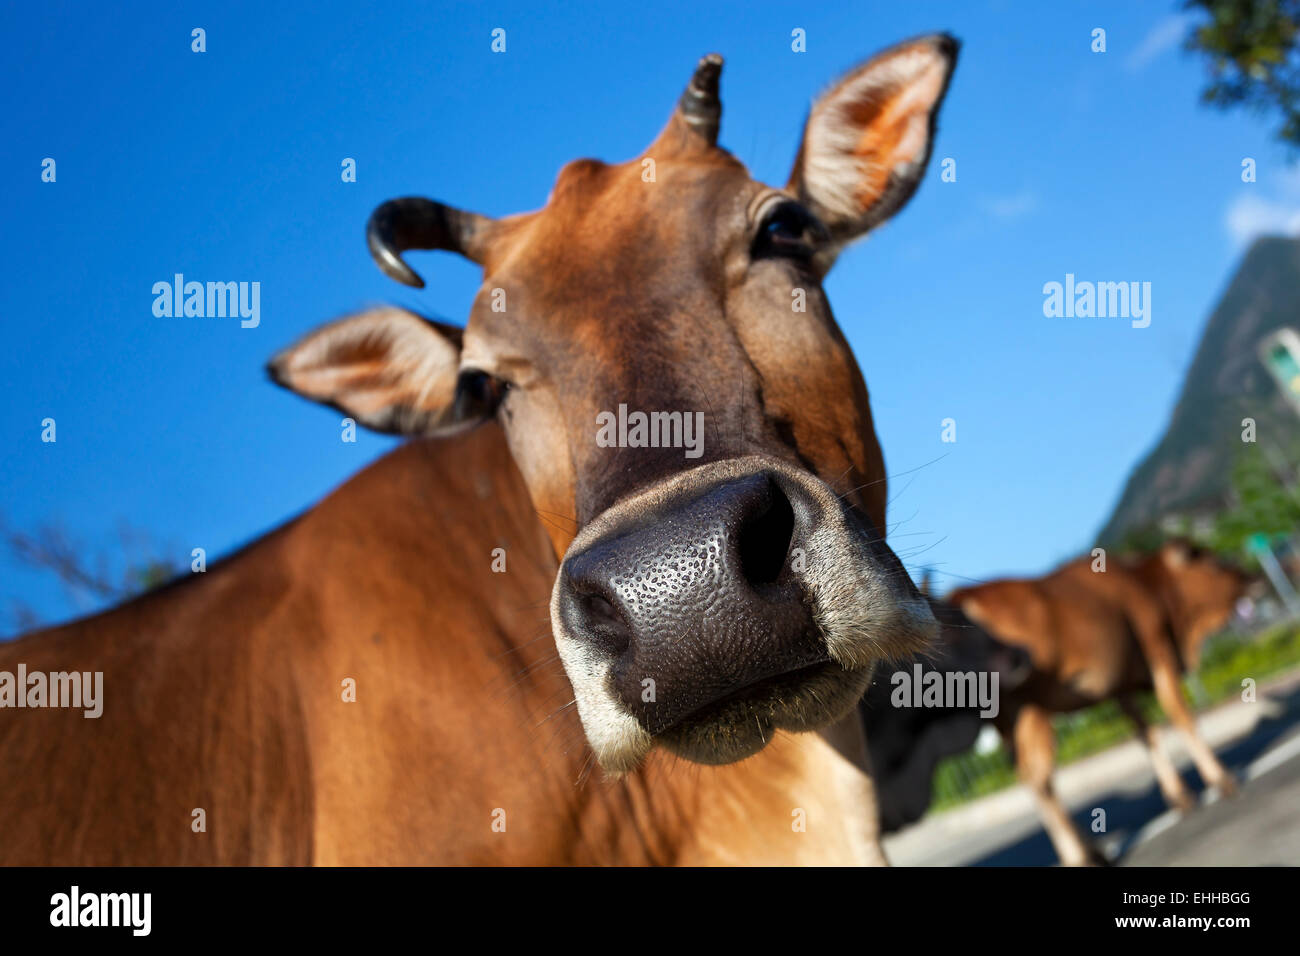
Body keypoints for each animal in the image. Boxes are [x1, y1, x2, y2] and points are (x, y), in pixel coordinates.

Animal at [956, 546, 1248, 868]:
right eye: (1214, 563)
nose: (1252, 577)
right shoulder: (1157, 650)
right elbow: (1181, 716)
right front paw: (1221, 779)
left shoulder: (1120, 685)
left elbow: (1146, 733)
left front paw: (1179, 796)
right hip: (1028, 704)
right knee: (1038, 776)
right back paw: (1081, 856)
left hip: (1004, 719)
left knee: (1029, 777)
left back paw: (1092, 851)